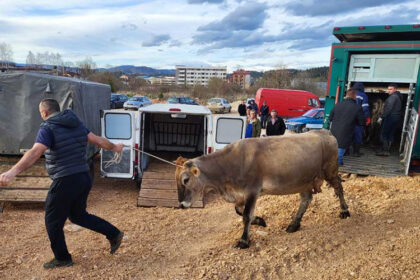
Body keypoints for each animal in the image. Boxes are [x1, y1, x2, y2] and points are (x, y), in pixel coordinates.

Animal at [176, 130, 350, 248]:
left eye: (186, 180)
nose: (181, 205)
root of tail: (324, 132)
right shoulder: (240, 194)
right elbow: (239, 211)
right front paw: (260, 221)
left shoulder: (252, 190)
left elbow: (246, 215)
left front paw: (244, 240)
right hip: (304, 180)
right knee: (306, 199)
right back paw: (294, 224)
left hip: (330, 171)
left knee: (339, 188)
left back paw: (344, 211)